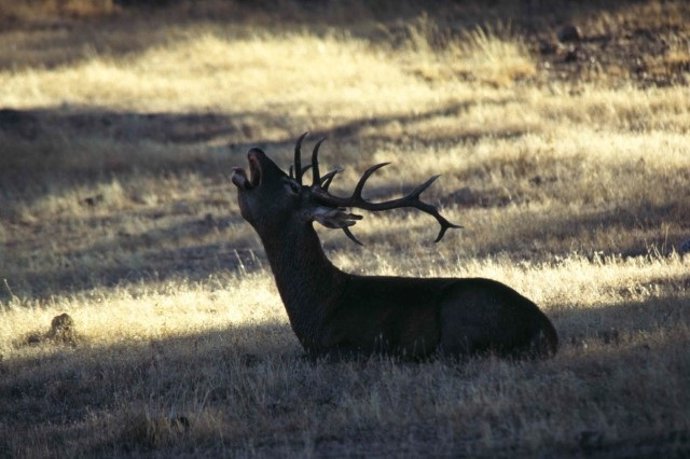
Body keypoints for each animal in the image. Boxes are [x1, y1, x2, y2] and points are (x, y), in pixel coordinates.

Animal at [231, 133, 558, 360]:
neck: (319, 311)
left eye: (292, 186)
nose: (257, 151)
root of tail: (547, 333)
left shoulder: (347, 347)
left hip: (463, 312)